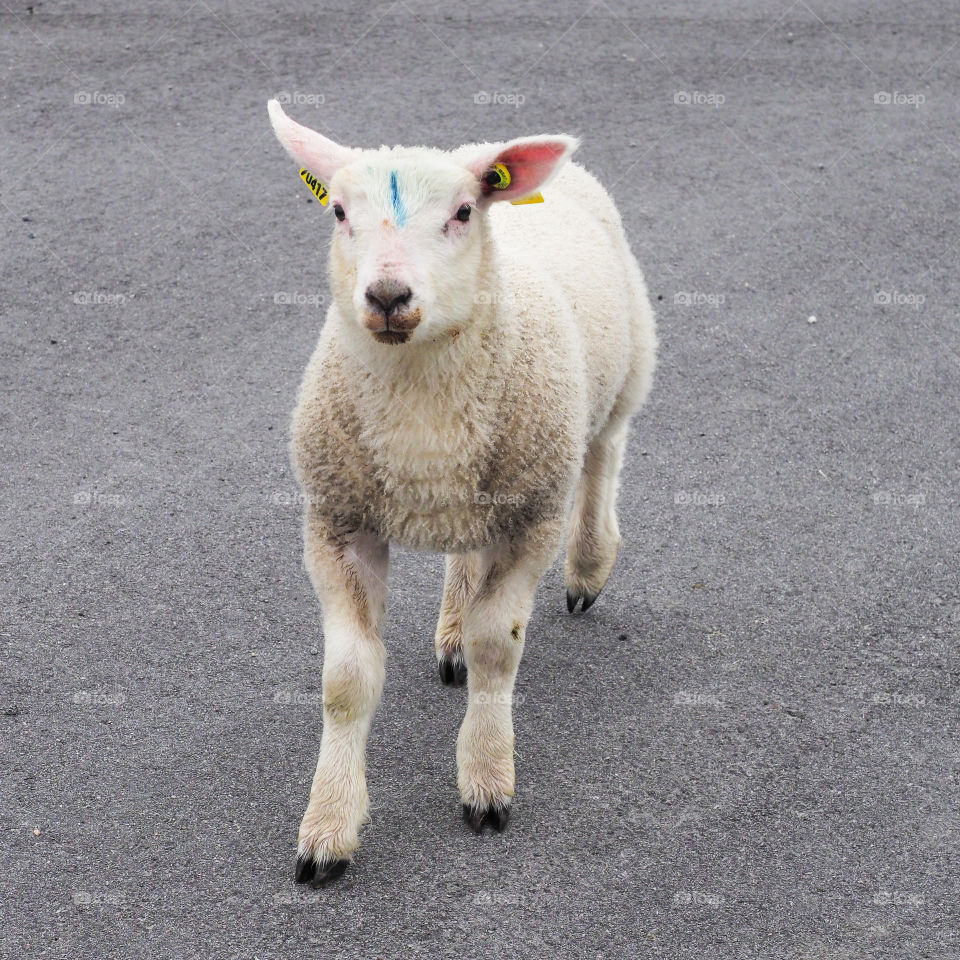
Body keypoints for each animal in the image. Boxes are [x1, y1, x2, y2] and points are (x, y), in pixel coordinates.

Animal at [267, 99, 657, 887]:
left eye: (463, 212)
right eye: (340, 213)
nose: (388, 296)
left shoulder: (532, 517)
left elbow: (495, 646)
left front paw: (485, 783)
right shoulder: (336, 522)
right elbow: (347, 680)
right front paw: (327, 829)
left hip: (622, 373)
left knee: (603, 457)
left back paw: (589, 567)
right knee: (465, 553)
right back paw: (449, 628)